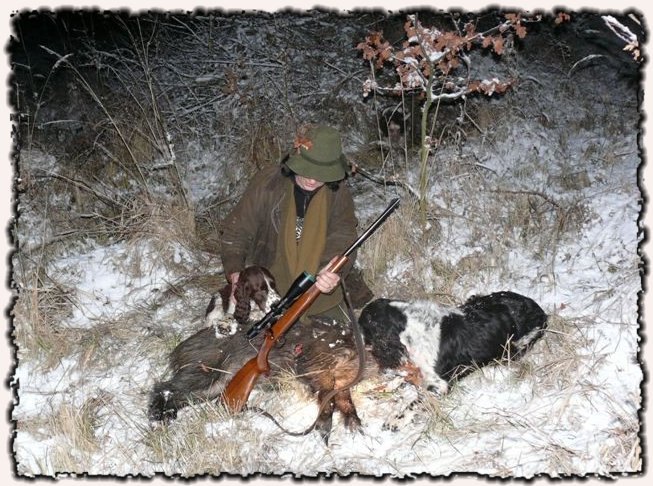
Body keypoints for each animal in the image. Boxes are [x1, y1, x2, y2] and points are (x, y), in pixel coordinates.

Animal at [358, 291, 548, 397]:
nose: (361, 342)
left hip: (517, 345)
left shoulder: (439, 384)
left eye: (363, 328)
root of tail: (541, 312)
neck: (406, 322)